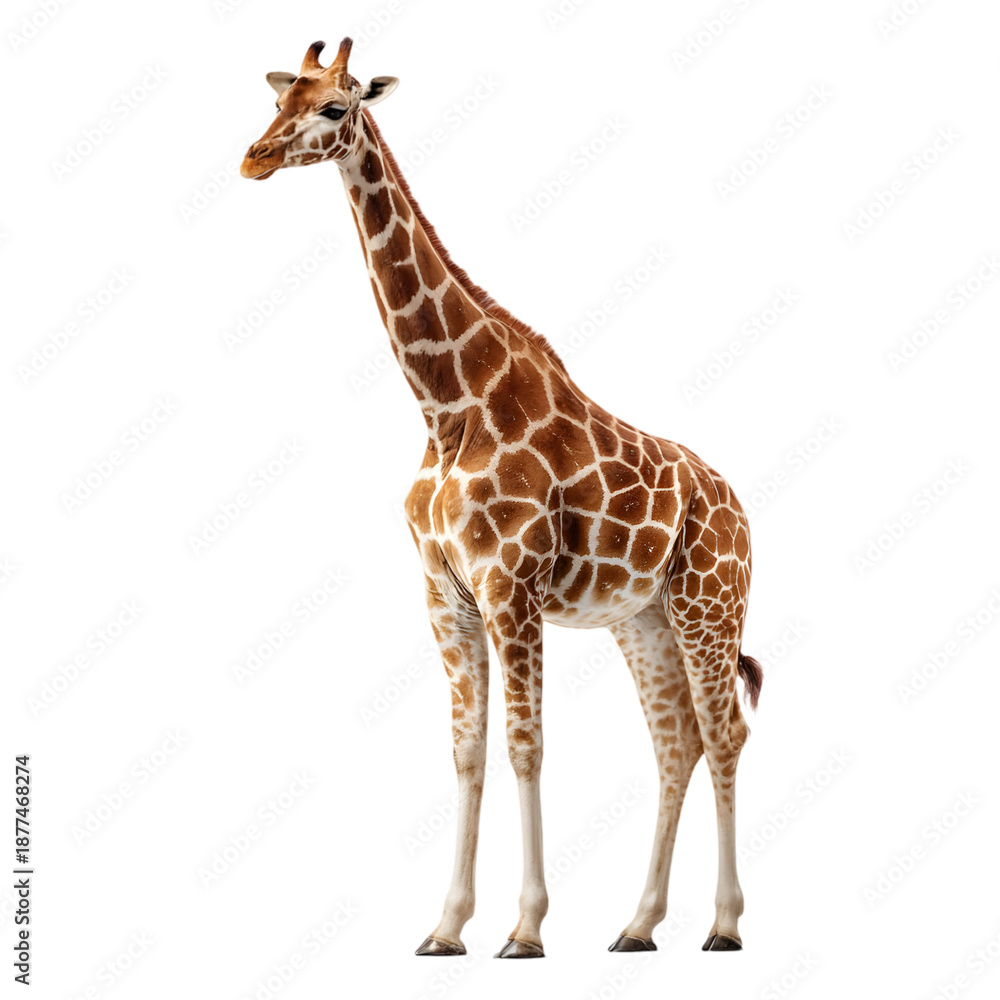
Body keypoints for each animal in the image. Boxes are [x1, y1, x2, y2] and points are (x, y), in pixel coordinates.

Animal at [241, 38, 763, 959]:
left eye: (335, 106)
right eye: (279, 100)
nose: (254, 157)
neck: (448, 404)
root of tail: (740, 506)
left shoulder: (509, 588)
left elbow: (526, 746)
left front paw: (524, 928)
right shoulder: (445, 593)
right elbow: (467, 751)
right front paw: (447, 926)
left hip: (711, 603)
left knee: (724, 732)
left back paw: (725, 926)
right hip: (645, 620)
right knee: (677, 742)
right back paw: (638, 925)